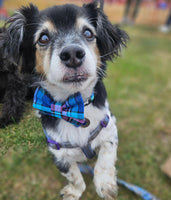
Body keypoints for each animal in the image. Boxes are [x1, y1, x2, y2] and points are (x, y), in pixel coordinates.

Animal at [1, 0, 127, 198]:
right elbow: (73, 175)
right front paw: (74, 192)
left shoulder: (109, 129)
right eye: (43, 38)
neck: (75, 106)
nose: (73, 54)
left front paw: (105, 185)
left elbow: (104, 160)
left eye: (88, 33)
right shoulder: (57, 152)